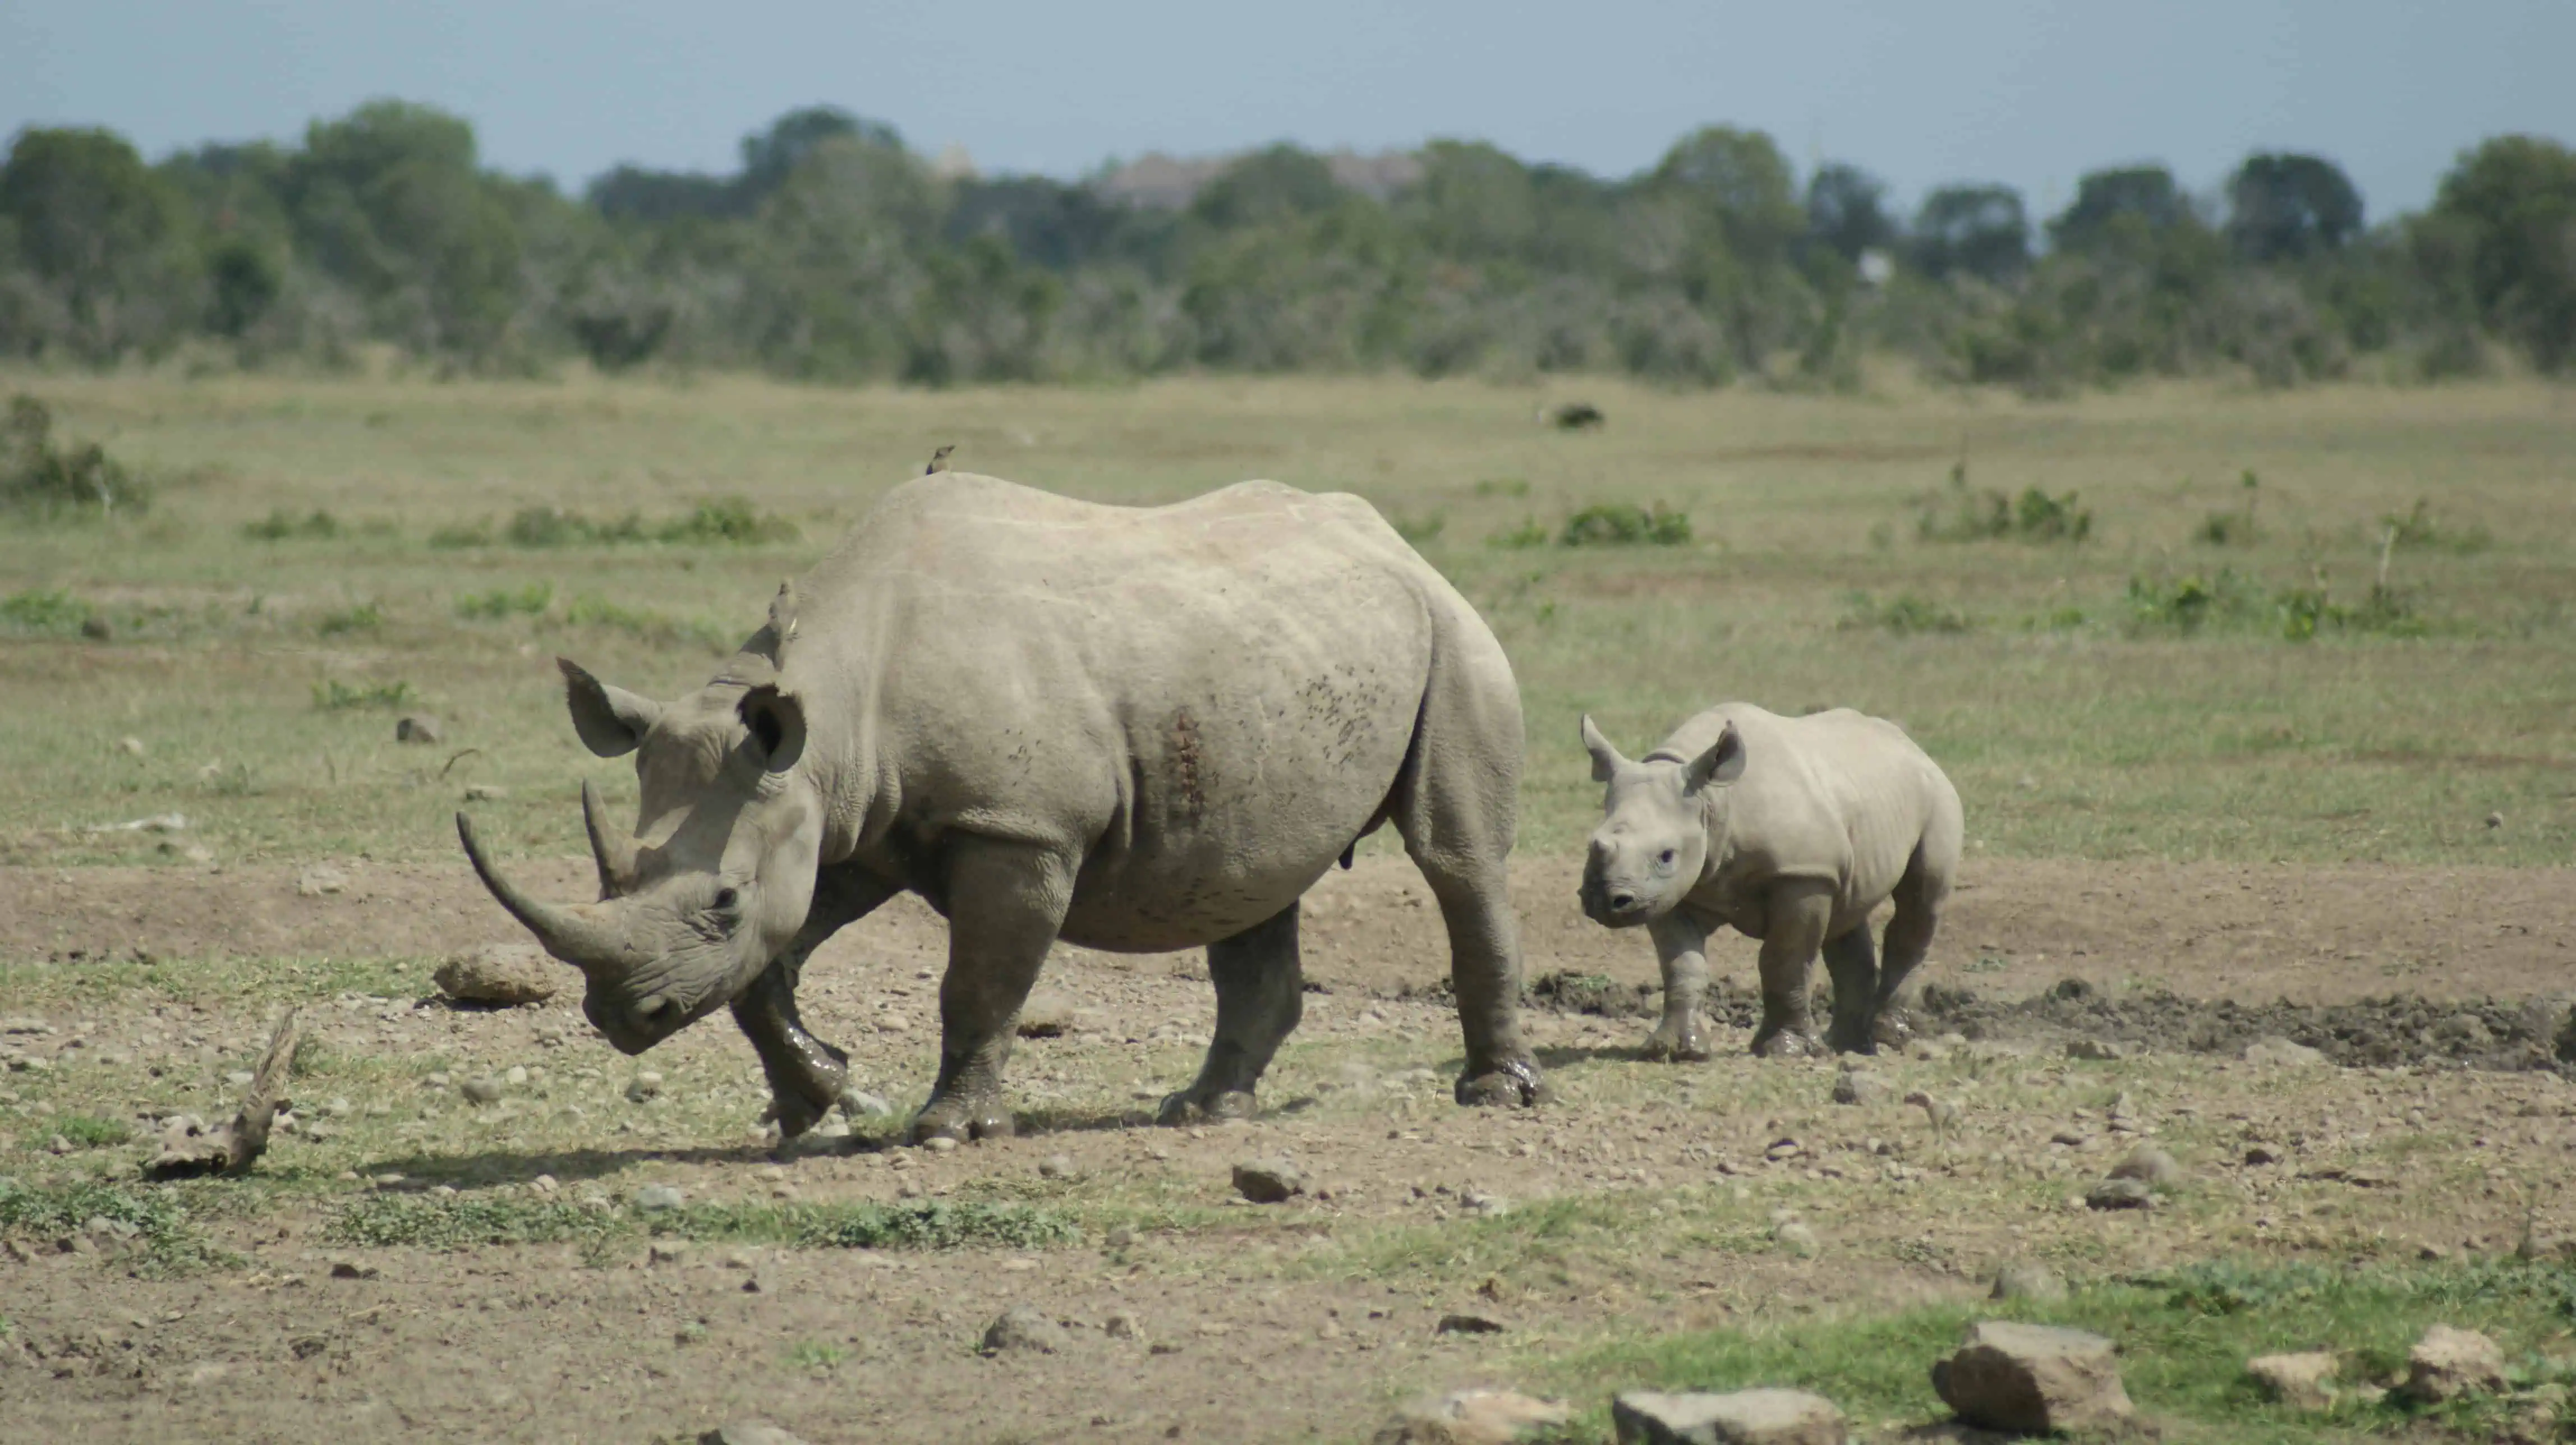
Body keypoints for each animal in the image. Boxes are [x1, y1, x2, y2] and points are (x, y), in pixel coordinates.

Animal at [457, 473, 1544, 1144]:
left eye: (720, 901)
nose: (621, 1018)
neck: (833, 705)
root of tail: (1393, 539)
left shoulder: (1017, 828)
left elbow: (977, 986)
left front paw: (949, 1131)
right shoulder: (842, 821)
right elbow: (765, 976)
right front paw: (821, 1101)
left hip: (1453, 631)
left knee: (1455, 857)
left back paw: (1494, 1095)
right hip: (1274, 660)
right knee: (1248, 877)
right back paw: (1201, 1112)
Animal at [1577, 703, 1962, 1059]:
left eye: (1667, 855)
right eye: (1593, 844)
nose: (1607, 900)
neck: (1713, 800)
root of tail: (1913, 747)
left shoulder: (1803, 874)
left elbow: (1784, 960)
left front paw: (1785, 1050)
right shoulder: (1671, 892)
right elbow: (1682, 964)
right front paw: (1674, 1050)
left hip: (1937, 795)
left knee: (1921, 898)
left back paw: (1889, 1036)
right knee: (1848, 912)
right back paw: (1846, 1045)